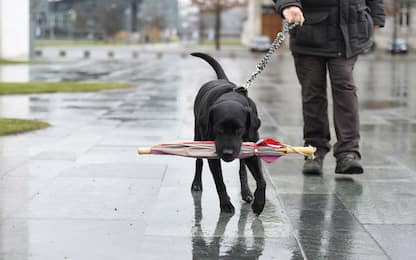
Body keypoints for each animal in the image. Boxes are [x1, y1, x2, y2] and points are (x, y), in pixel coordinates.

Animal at [191, 52, 266, 215]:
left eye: (239, 129)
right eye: (219, 129)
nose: (227, 153)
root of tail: (221, 80)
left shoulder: (251, 147)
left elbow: (261, 180)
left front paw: (259, 203)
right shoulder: (212, 153)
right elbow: (219, 181)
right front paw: (225, 204)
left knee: (242, 169)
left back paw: (246, 192)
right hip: (197, 134)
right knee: (199, 160)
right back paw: (197, 183)